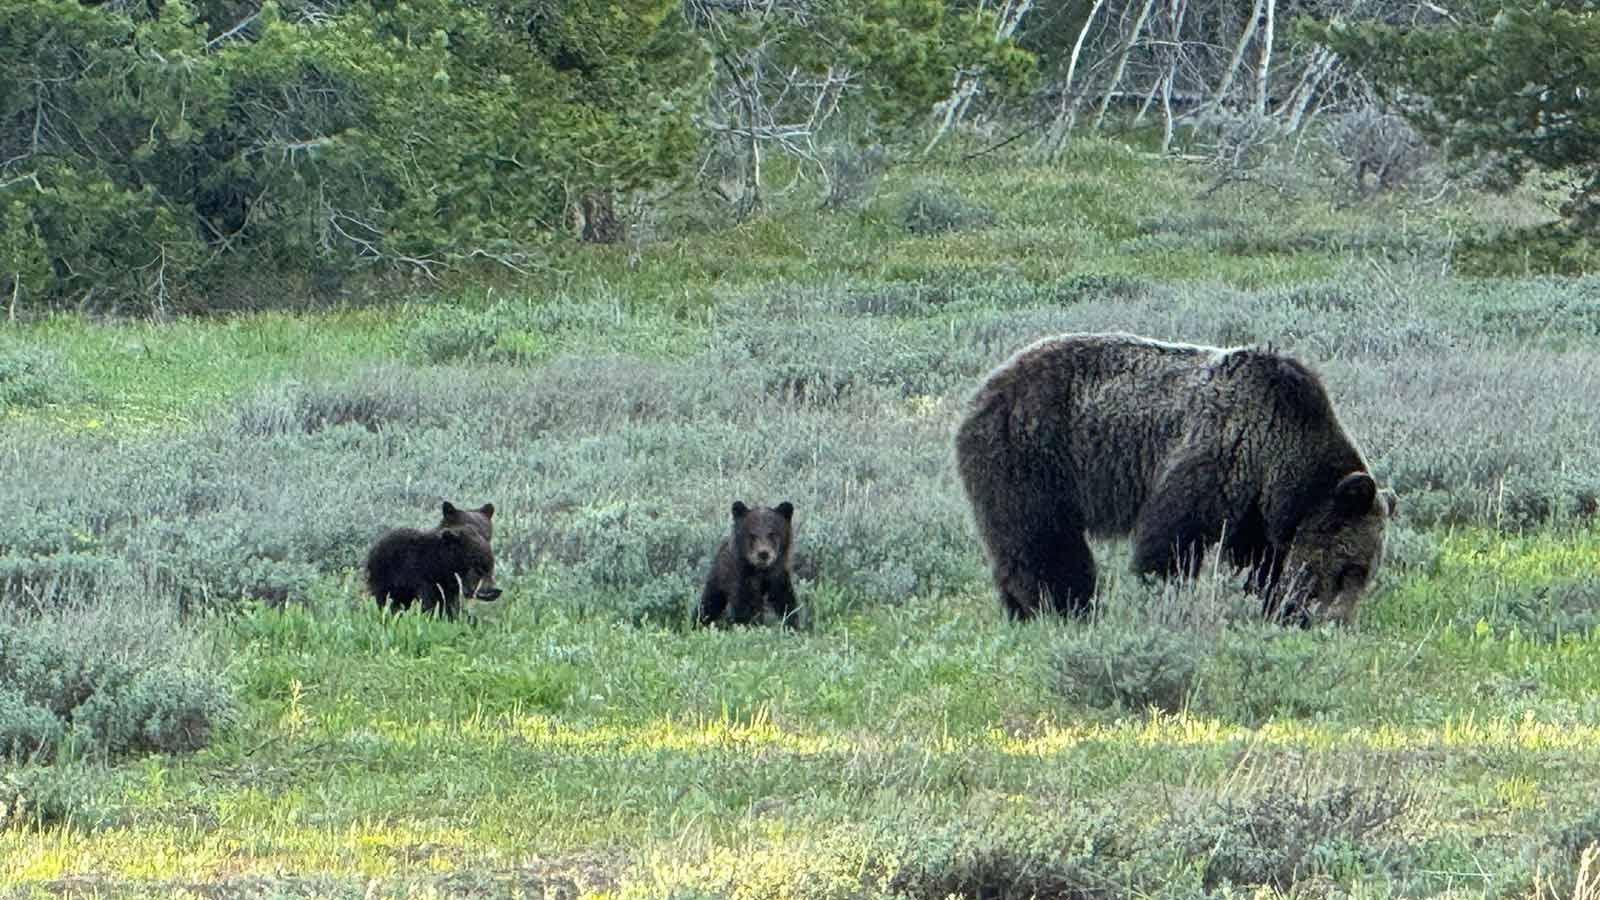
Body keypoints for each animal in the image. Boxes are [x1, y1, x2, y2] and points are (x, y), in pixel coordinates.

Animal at [365, 500, 503, 620]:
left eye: (487, 533)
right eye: (472, 558)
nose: (491, 591)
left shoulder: (451, 584)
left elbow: (451, 604)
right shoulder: (423, 576)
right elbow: (430, 602)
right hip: (383, 578)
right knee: (384, 600)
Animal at [954, 332, 1397, 625]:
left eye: (1364, 570)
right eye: (1350, 568)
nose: (1335, 621)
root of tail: (986, 387)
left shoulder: (1254, 501)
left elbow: (1258, 559)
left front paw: (1272, 605)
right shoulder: (1218, 454)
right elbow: (1172, 539)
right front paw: (1164, 597)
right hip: (1035, 457)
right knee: (1044, 540)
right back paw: (1065, 607)